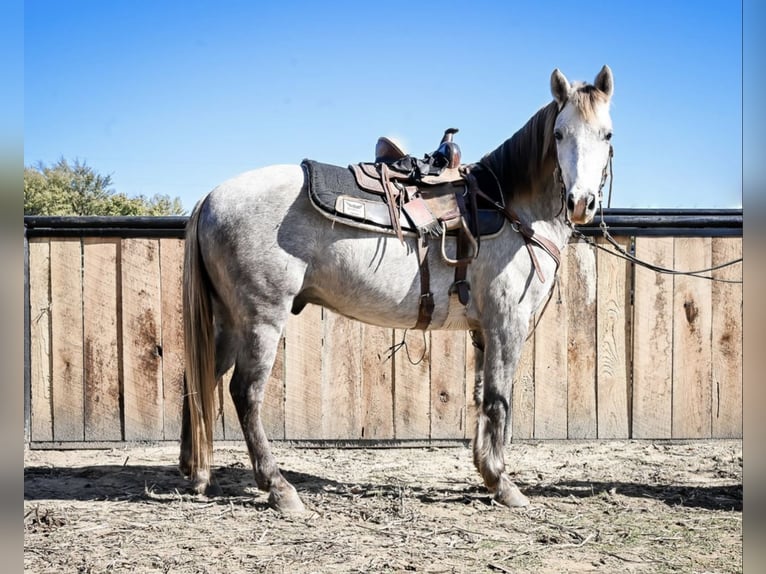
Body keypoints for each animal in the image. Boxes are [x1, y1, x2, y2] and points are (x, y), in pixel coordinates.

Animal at [179, 65, 615, 513]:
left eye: (607, 135)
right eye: (559, 134)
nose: (581, 203)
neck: (510, 207)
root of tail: (210, 197)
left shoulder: (482, 331)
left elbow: (480, 396)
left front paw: (485, 473)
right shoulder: (506, 325)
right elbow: (498, 399)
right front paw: (503, 483)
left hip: (228, 320)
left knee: (199, 379)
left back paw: (198, 475)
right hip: (261, 318)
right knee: (245, 393)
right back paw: (278, 488)